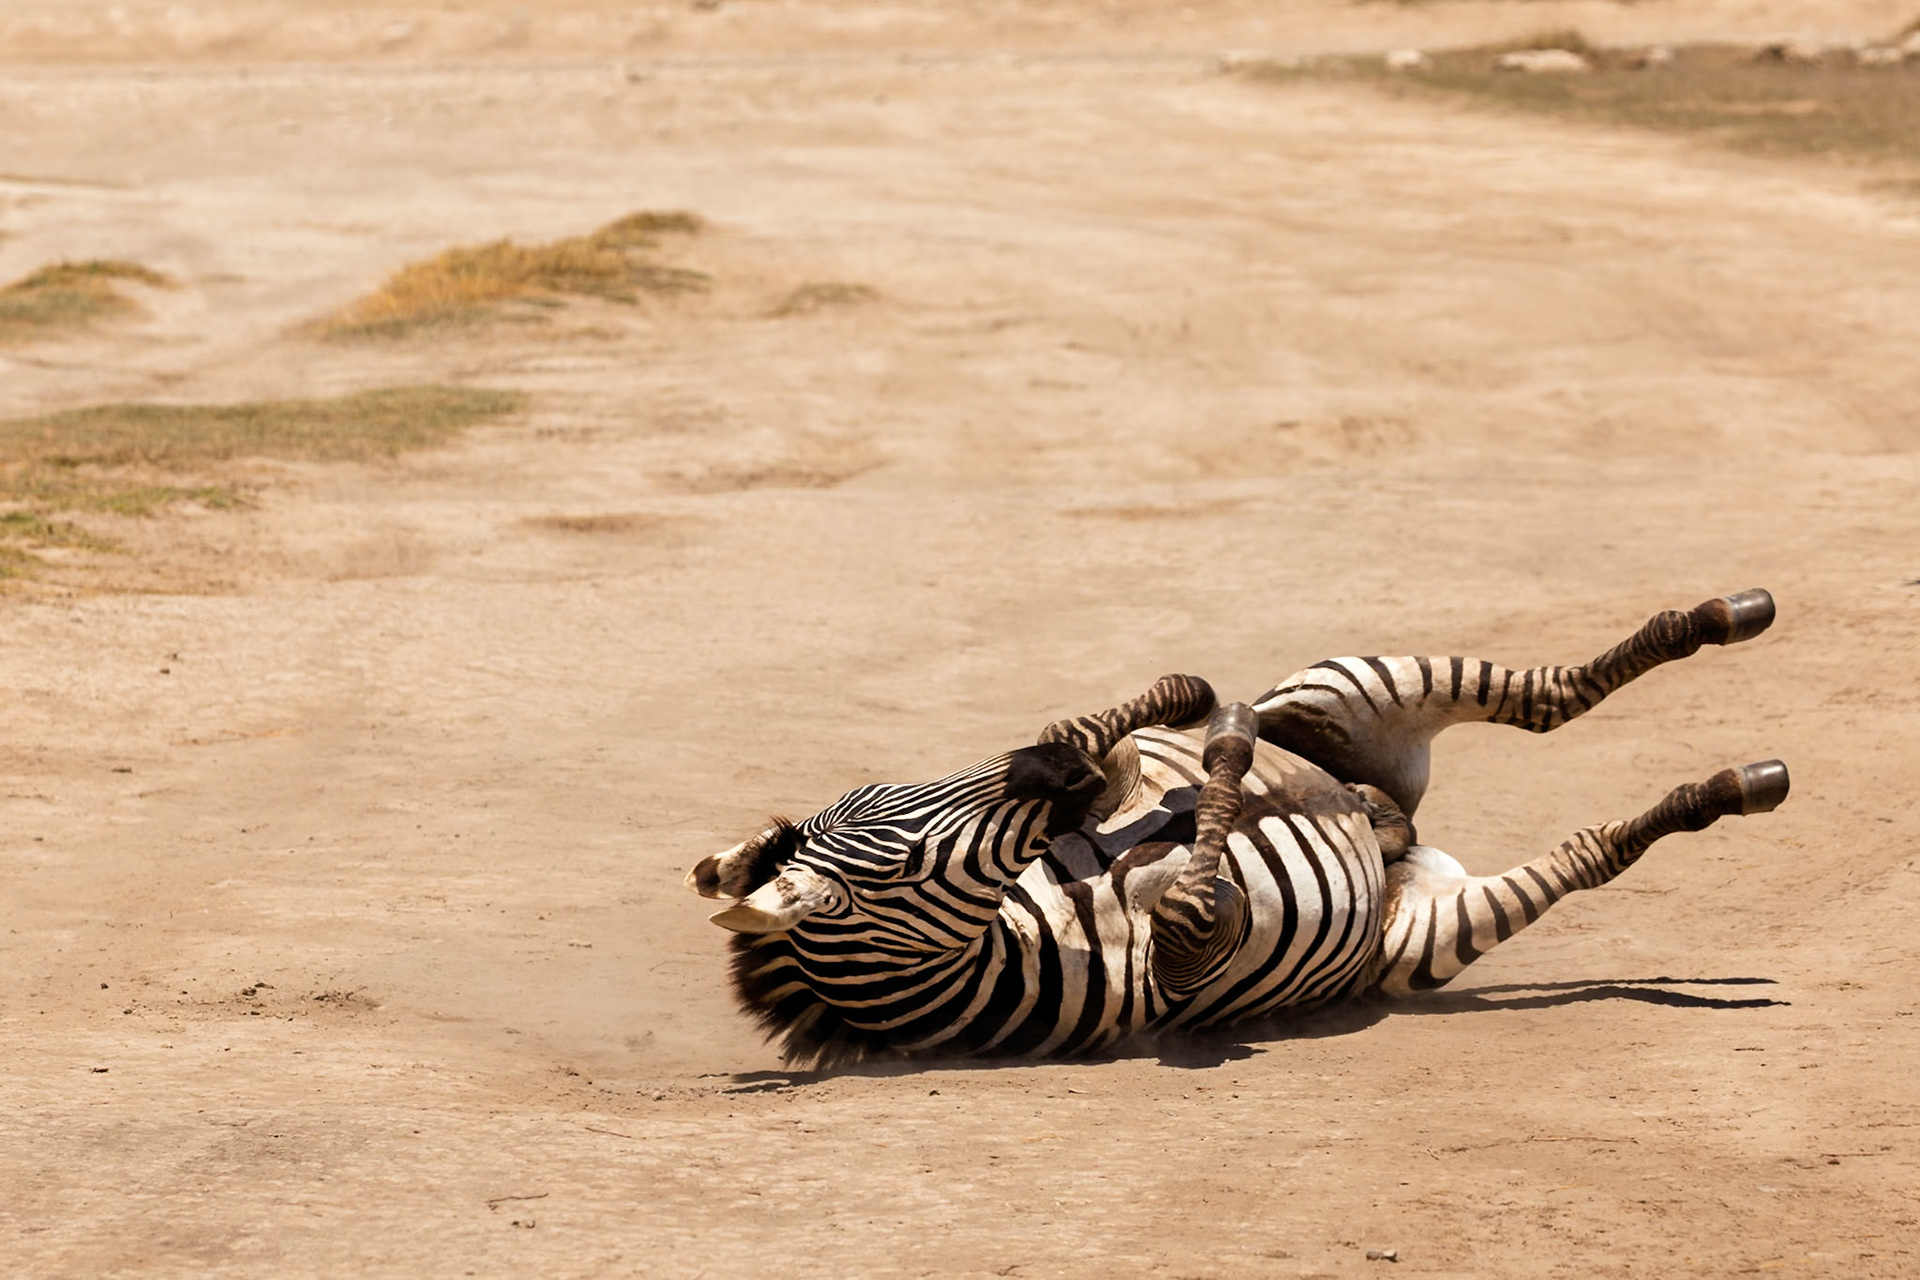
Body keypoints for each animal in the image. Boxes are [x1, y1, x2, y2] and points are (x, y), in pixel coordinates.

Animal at [687, 589, 1789, 1066]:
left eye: (901, 785)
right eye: (914, 857)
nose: (1057, 780)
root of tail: (1399, 823)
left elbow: (1106, 738)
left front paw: (1179, 719)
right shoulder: (1189, 965)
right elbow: (1193, 896)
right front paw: (1210, 758)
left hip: (1345, 686)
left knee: (1549, 697)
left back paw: (1728, 616)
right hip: (1427, 932)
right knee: (1589, 841)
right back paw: (1739, 783)